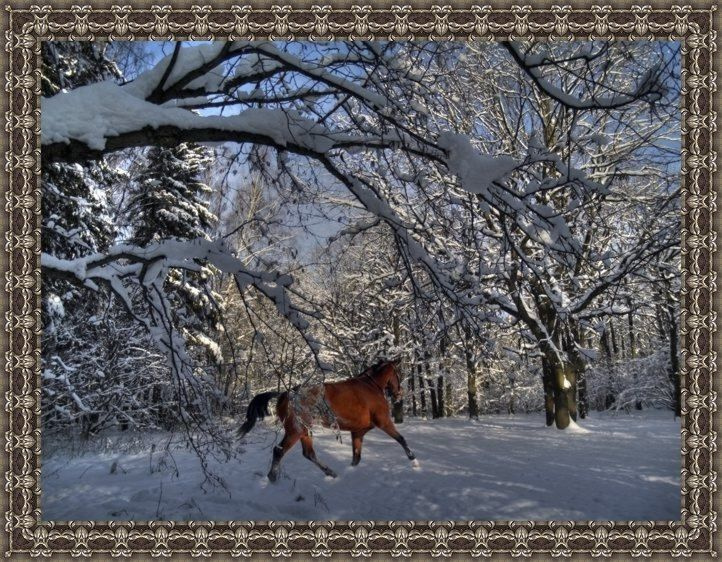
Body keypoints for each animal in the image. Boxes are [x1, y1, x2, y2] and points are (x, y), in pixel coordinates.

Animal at [238, 359, 416, 482]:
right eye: (397, 373)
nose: (399, 393)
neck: (371, 387)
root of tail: (284, 394)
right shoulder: (384, 422)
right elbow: (401, 439)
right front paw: (414, 460)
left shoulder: (358, 432)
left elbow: (356, 458)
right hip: (295, 431)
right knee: (279, 451)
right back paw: (272, 478)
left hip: (305, 431)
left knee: (309, 453)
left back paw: (331, 473)